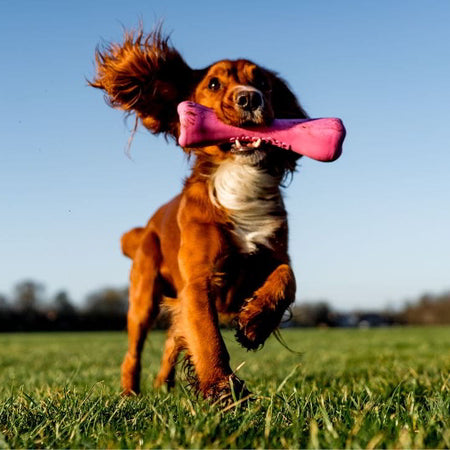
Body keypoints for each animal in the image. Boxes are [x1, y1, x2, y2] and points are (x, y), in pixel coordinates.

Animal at [91, 28, 310, 400]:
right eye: (213, 84)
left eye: (263, 83)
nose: (249, 99)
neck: (236, 176)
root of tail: (144, 228)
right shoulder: (198, 280)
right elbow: (207, 338)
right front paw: (224, 389)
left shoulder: (271, 255)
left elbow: (287, 278)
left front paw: (256, 322)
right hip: (143, 297)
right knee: (134, 351)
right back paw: (130, 394)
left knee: (173, 338)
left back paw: (163, 385)